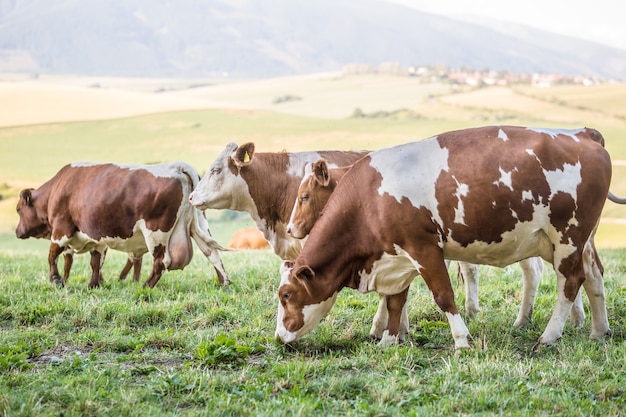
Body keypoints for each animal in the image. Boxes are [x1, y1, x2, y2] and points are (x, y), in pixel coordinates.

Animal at [15, 161, 228, 288]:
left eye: (18, 209)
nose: (17, 231)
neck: (56, 190)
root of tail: (175, 166)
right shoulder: (97, 238)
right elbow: (95, 262)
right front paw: (93, 285)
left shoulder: (61, 231)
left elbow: (52, 256)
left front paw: (56, 280)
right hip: (199, 225)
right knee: (213, 254)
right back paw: (224, 283)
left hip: (156, 232)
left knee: (161, 262)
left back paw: (144, 287)